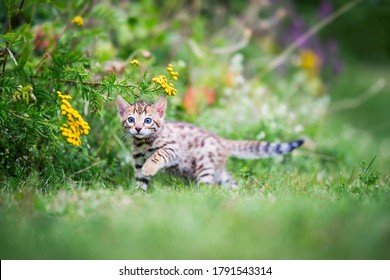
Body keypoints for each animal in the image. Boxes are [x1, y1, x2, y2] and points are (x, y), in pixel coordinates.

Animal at [114, 95, 304, 191]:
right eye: (131, 119)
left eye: (147, 120)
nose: (138, 128)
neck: (144, 143)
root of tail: (222, 141)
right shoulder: (138, 162)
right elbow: (140, 182)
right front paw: (137, 198)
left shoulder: (174, 148)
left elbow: (159, 154)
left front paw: (150, 167)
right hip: (219, 173)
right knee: (232, 182)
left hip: (205, 166)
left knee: (208, 187)